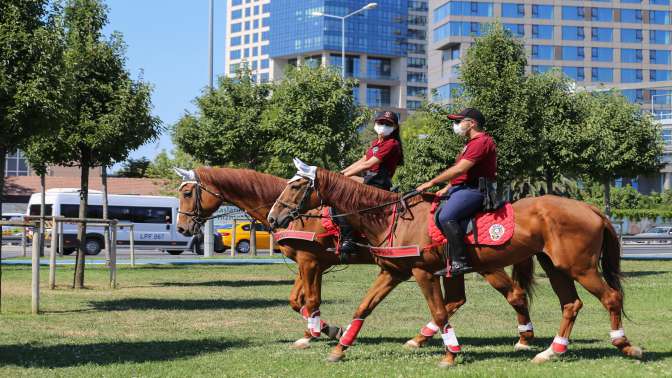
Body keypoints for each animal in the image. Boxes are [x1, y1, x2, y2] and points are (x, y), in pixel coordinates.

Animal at [173, 167, 536, 350]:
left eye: (188, 192)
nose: (181, 226)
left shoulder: (310, 262)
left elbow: (310, 300)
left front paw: (319, 332)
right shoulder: (310, 264)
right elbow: (297, 300)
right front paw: (325, 330)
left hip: (485, 266)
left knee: (513, 295)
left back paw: (522, 338)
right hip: (450, 269)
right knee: (457, 300)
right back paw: (421, 337)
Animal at [266, 163, 640, 366]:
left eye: (296, 186)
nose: (273, 217)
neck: (390, 216)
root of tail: (590, 208)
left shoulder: (422, 273)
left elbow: (439, 311)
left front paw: (450, 353)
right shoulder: (392, 272)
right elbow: (363, 307)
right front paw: (340, 347)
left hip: (579, 267)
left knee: (610, 298)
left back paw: (624, 344)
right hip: (555, 266)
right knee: (570, 304)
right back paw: (552, 351)